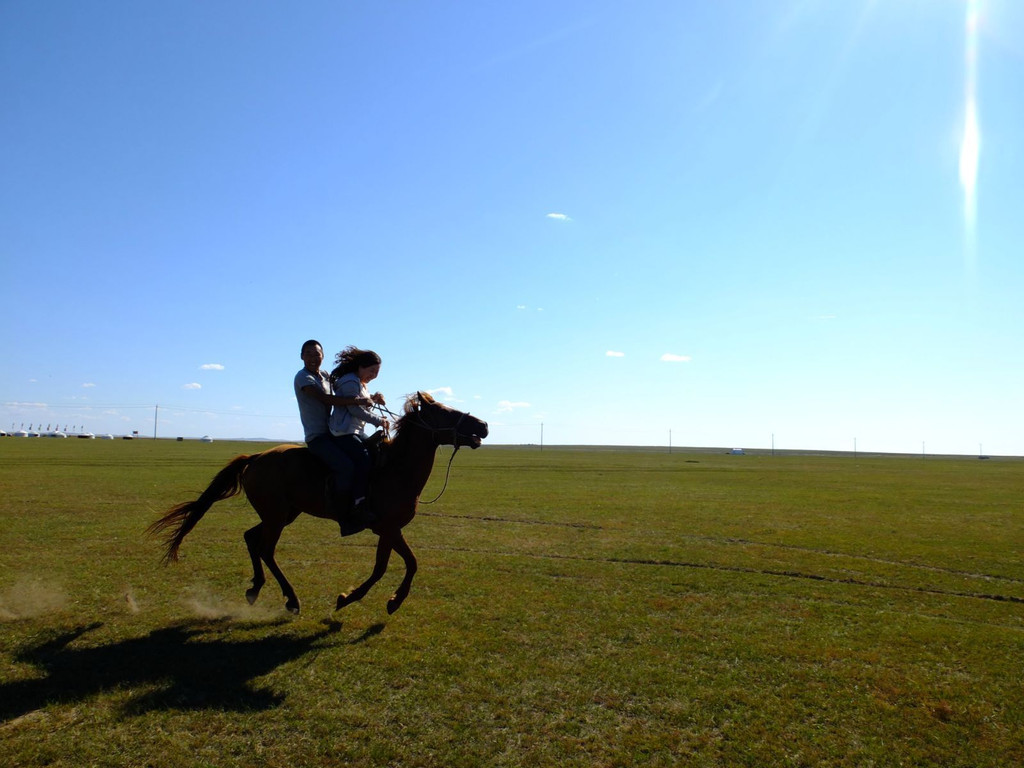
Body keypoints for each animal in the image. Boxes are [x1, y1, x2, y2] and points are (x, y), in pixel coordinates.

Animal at [145, 393, 491, 618]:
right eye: (445, 412)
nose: (484, 425)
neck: (395, 469)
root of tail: (255, 458)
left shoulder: (388, 530)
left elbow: (395, 565)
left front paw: (375, 599)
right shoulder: (388, 527)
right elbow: (401, 565)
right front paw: (358, 599)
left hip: (283, 514)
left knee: (250, 538)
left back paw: (256, 589)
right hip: (276, 517)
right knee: (266, 548)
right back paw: (291, 599)